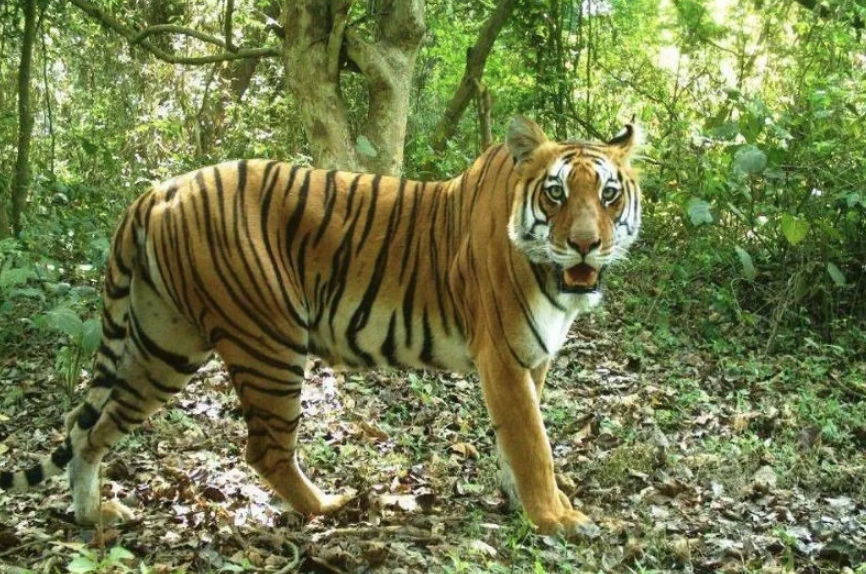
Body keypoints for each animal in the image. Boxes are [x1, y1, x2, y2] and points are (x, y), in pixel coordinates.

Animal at [0, 115, 636, 536]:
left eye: (608, 194)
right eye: (555, 194)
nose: (586, 245)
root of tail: (160, 189)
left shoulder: (532, 359)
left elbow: (519, 439)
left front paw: (522, 503)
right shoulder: (502, 355)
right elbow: (533, 443)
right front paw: (558, 519)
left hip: (162, 345)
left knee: (88, 427)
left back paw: (92, 514)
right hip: (269, 341)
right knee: (264, 449)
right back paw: (329, 508)